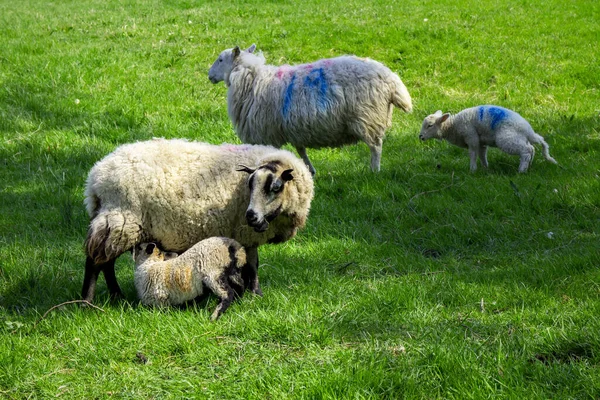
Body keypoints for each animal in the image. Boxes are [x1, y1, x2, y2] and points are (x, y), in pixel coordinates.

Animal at [81, 138, 314, 304]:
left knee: (106, 263)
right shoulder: (245, 234)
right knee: (95, 262)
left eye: (276, 187)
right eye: (249, 184)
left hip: (117, 223)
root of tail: (95, 179)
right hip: (121, 220)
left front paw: (251, 292)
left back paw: (116, 296)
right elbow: (253, 264)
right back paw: (87, 302)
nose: (251, 216)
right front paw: (256, 294)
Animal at [207, 44, 412, 175]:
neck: (252, 79)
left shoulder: (266, 132)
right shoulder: (294, 127)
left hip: (368, 117)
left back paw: (374, 171)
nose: (209, 75)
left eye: (220, 59)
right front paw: (310, 170)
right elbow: (301, 151)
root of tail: (392, 80)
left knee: (376, 147)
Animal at [420, 104, 556, 172]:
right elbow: (482, 154)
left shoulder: (471, 137)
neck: (453, 125)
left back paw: (521, 170)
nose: (420, 136)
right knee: (531, 148)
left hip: (507, 138)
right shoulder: (481, 142)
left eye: (430, 125)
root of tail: (529, 131)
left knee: (526, 151)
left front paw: (472, 170)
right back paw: (529, 166)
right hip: (519, 138)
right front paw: (485, 168)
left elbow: (473, 154)